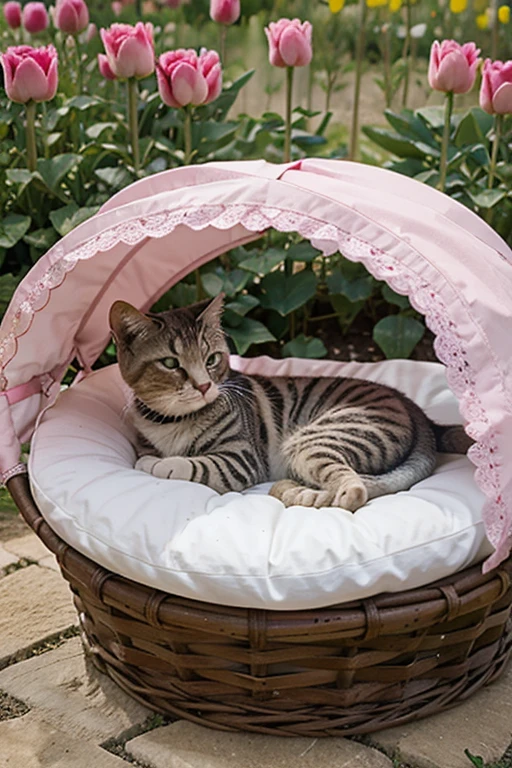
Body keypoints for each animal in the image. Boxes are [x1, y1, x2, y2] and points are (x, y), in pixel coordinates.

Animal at [109, 294, 472, 510]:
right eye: (171, 363)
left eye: (211, 359)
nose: (203, 386)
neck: (175, 421)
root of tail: (415, 410)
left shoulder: (240, 460)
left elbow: (189, 464)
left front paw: (157, 464)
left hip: (314, 440)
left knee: (354, 490)